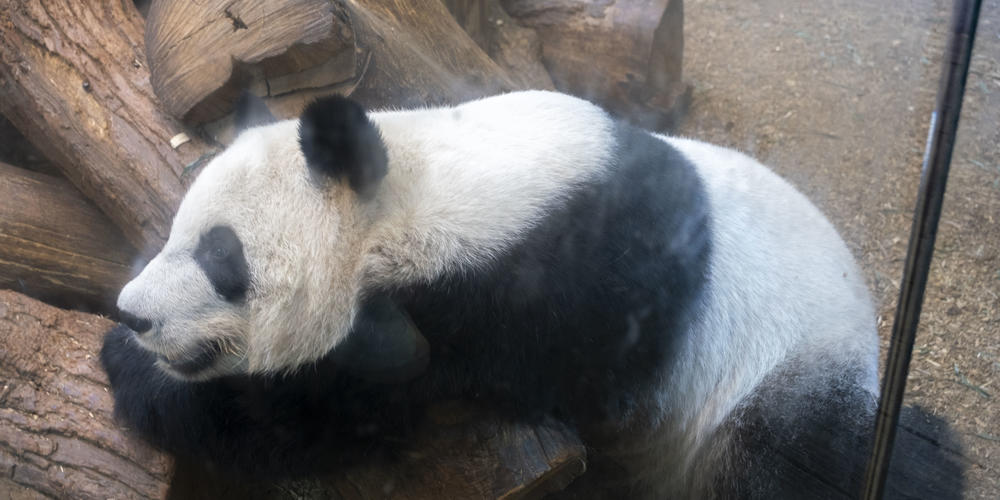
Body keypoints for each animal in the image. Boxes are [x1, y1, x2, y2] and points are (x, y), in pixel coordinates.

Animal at [103, 91, 960, 500]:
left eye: (223, 258)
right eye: (177, 227)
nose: (133, 311)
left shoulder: (538, 294)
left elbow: (332, 416)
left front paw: (134, 373)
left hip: (782, 385)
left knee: (806, 462)